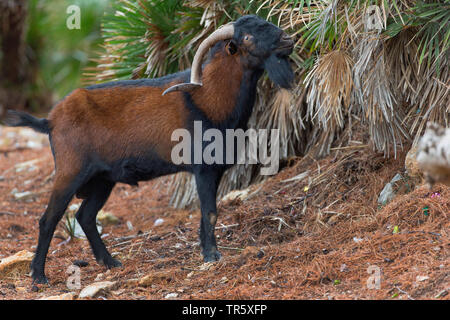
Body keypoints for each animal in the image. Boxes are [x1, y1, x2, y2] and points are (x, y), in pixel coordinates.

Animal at [4, 15, 296, 284]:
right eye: (247, 36)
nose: (287, 39)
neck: (208, 99)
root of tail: (50, 120)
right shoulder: (203, 169)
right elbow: (210, 212)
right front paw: (212, 255)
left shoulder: (216, 170)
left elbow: (206, 214)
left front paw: (206, 251)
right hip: (70, 172)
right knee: (49, 219)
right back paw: (38, 276)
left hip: (102, 180)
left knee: (85, 215)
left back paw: (110, 262)